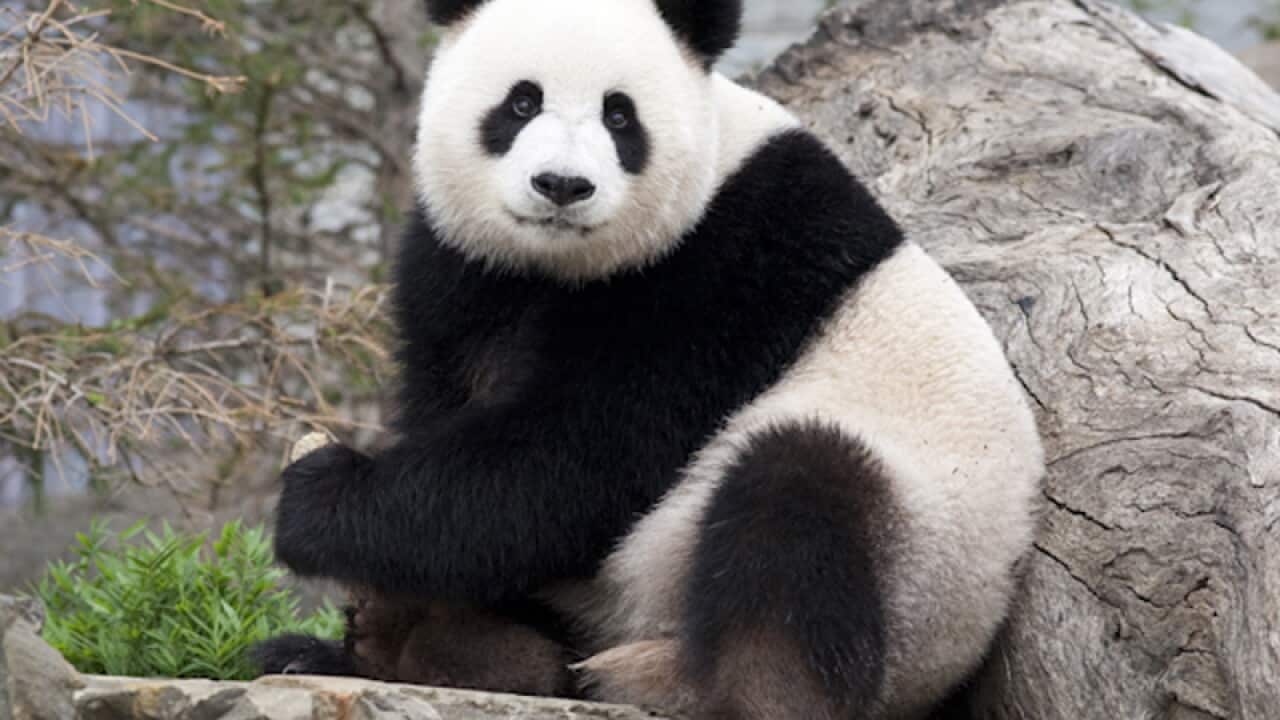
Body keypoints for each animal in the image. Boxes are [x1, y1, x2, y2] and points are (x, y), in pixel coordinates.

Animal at [254, 1, 1045, 718]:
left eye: (620, 116)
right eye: (521, 101)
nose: (562, 186)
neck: (557, 266)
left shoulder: (725, 268)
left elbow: (577, 456)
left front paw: (320, 498)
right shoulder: (461, 270)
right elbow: (456, 423)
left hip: (920, 560)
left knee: (797, 503)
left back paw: (688, 688)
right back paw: (434, 651)